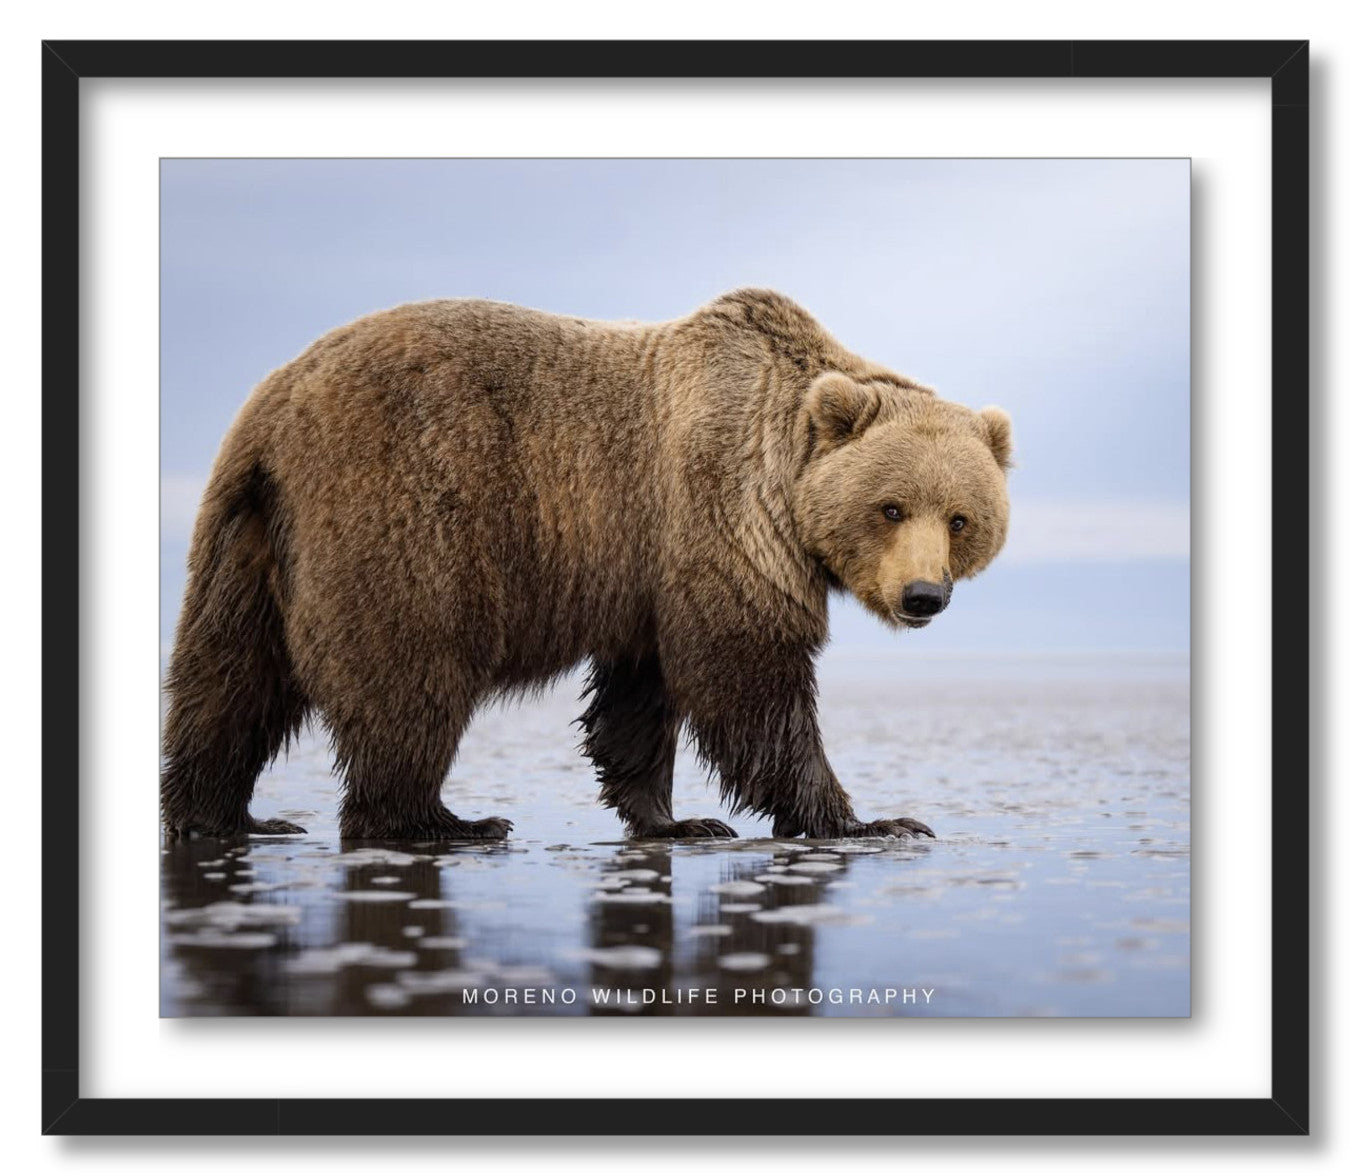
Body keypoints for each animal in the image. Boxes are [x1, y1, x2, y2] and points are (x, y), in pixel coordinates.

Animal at [161, 289, 1012, 842]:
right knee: (409, 672)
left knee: (231, 679)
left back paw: (227, 814)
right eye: (891, 508)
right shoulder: (718, 514)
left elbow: (642, 694)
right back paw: (439, 820)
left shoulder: (645, 569)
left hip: (247, 538)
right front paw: (872, 820)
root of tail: (275, 407)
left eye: (961, 518)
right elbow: (747, 676)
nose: (923, 595)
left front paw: (674, 819)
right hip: (401, 509)